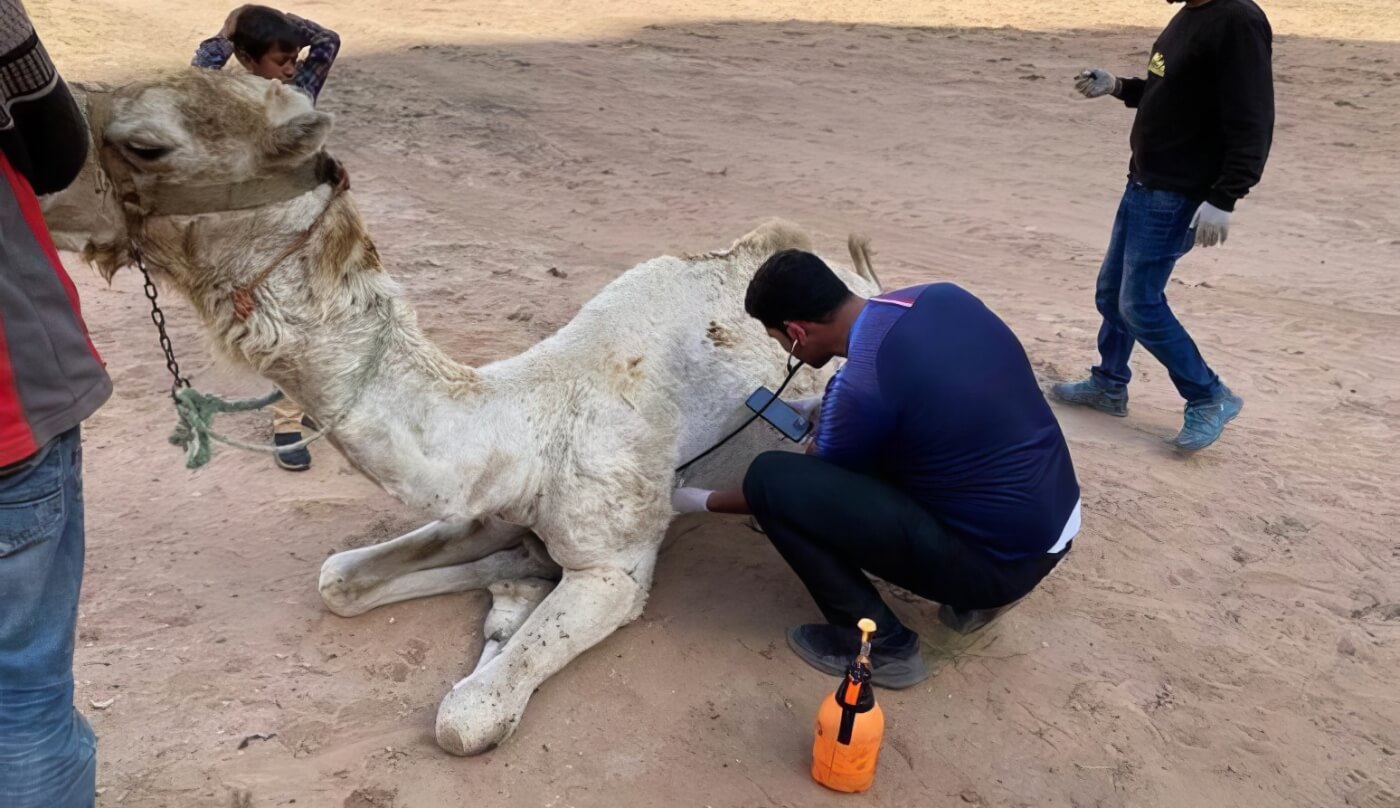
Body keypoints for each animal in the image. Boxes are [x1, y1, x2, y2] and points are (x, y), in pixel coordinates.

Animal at [49, 69, 879, 756]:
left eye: (146, 144)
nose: (46, 194)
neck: (534, 421)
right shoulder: (487, 500)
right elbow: (338, 579)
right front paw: (513, 575)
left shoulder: (614, 566)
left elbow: (466, 716)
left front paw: (514, 605)